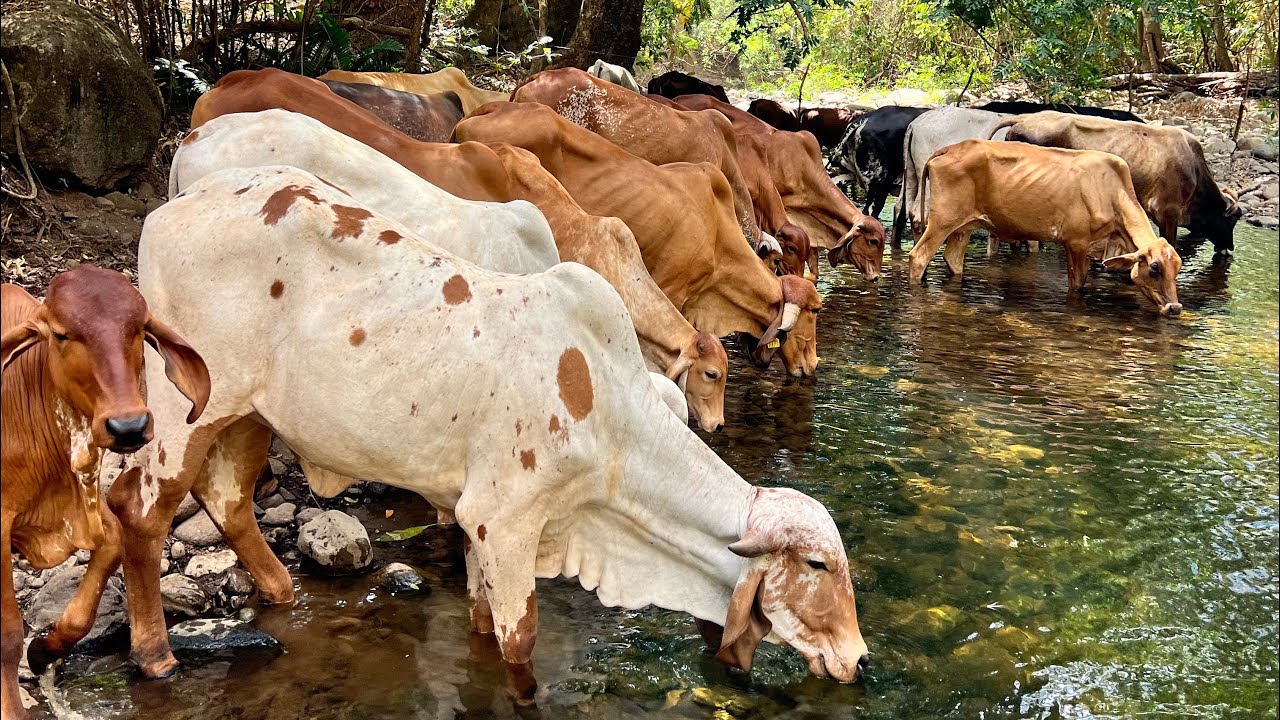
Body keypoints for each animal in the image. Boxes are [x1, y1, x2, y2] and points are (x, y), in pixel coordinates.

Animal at [2, 268, 209, 720]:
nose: (128, 426)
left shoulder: (90, 510)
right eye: (61, 334)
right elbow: (7, 633)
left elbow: (111, 551)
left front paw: (43, 650)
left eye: (139, 329)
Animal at [112, 165, 870, 691]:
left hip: (249, 414)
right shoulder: (504, 521)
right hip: (187, 404)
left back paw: (279, 593)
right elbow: (518, 644)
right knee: (138, 507)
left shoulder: (478, 524)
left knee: (229, 498)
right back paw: (154, 653)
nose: (860, 659)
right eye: (817, 566)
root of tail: (171, 206)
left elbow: (480, 627)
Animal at [908, 140, 1184, 315]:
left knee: (953, 259)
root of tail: (949, 148)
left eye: (1177, 269)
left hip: (964, 226)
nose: (1175, 308)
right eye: (1155, 268)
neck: (1112, 191)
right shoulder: (1076, 242)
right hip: (942, 220)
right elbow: (1077, 283)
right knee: (919, 256)